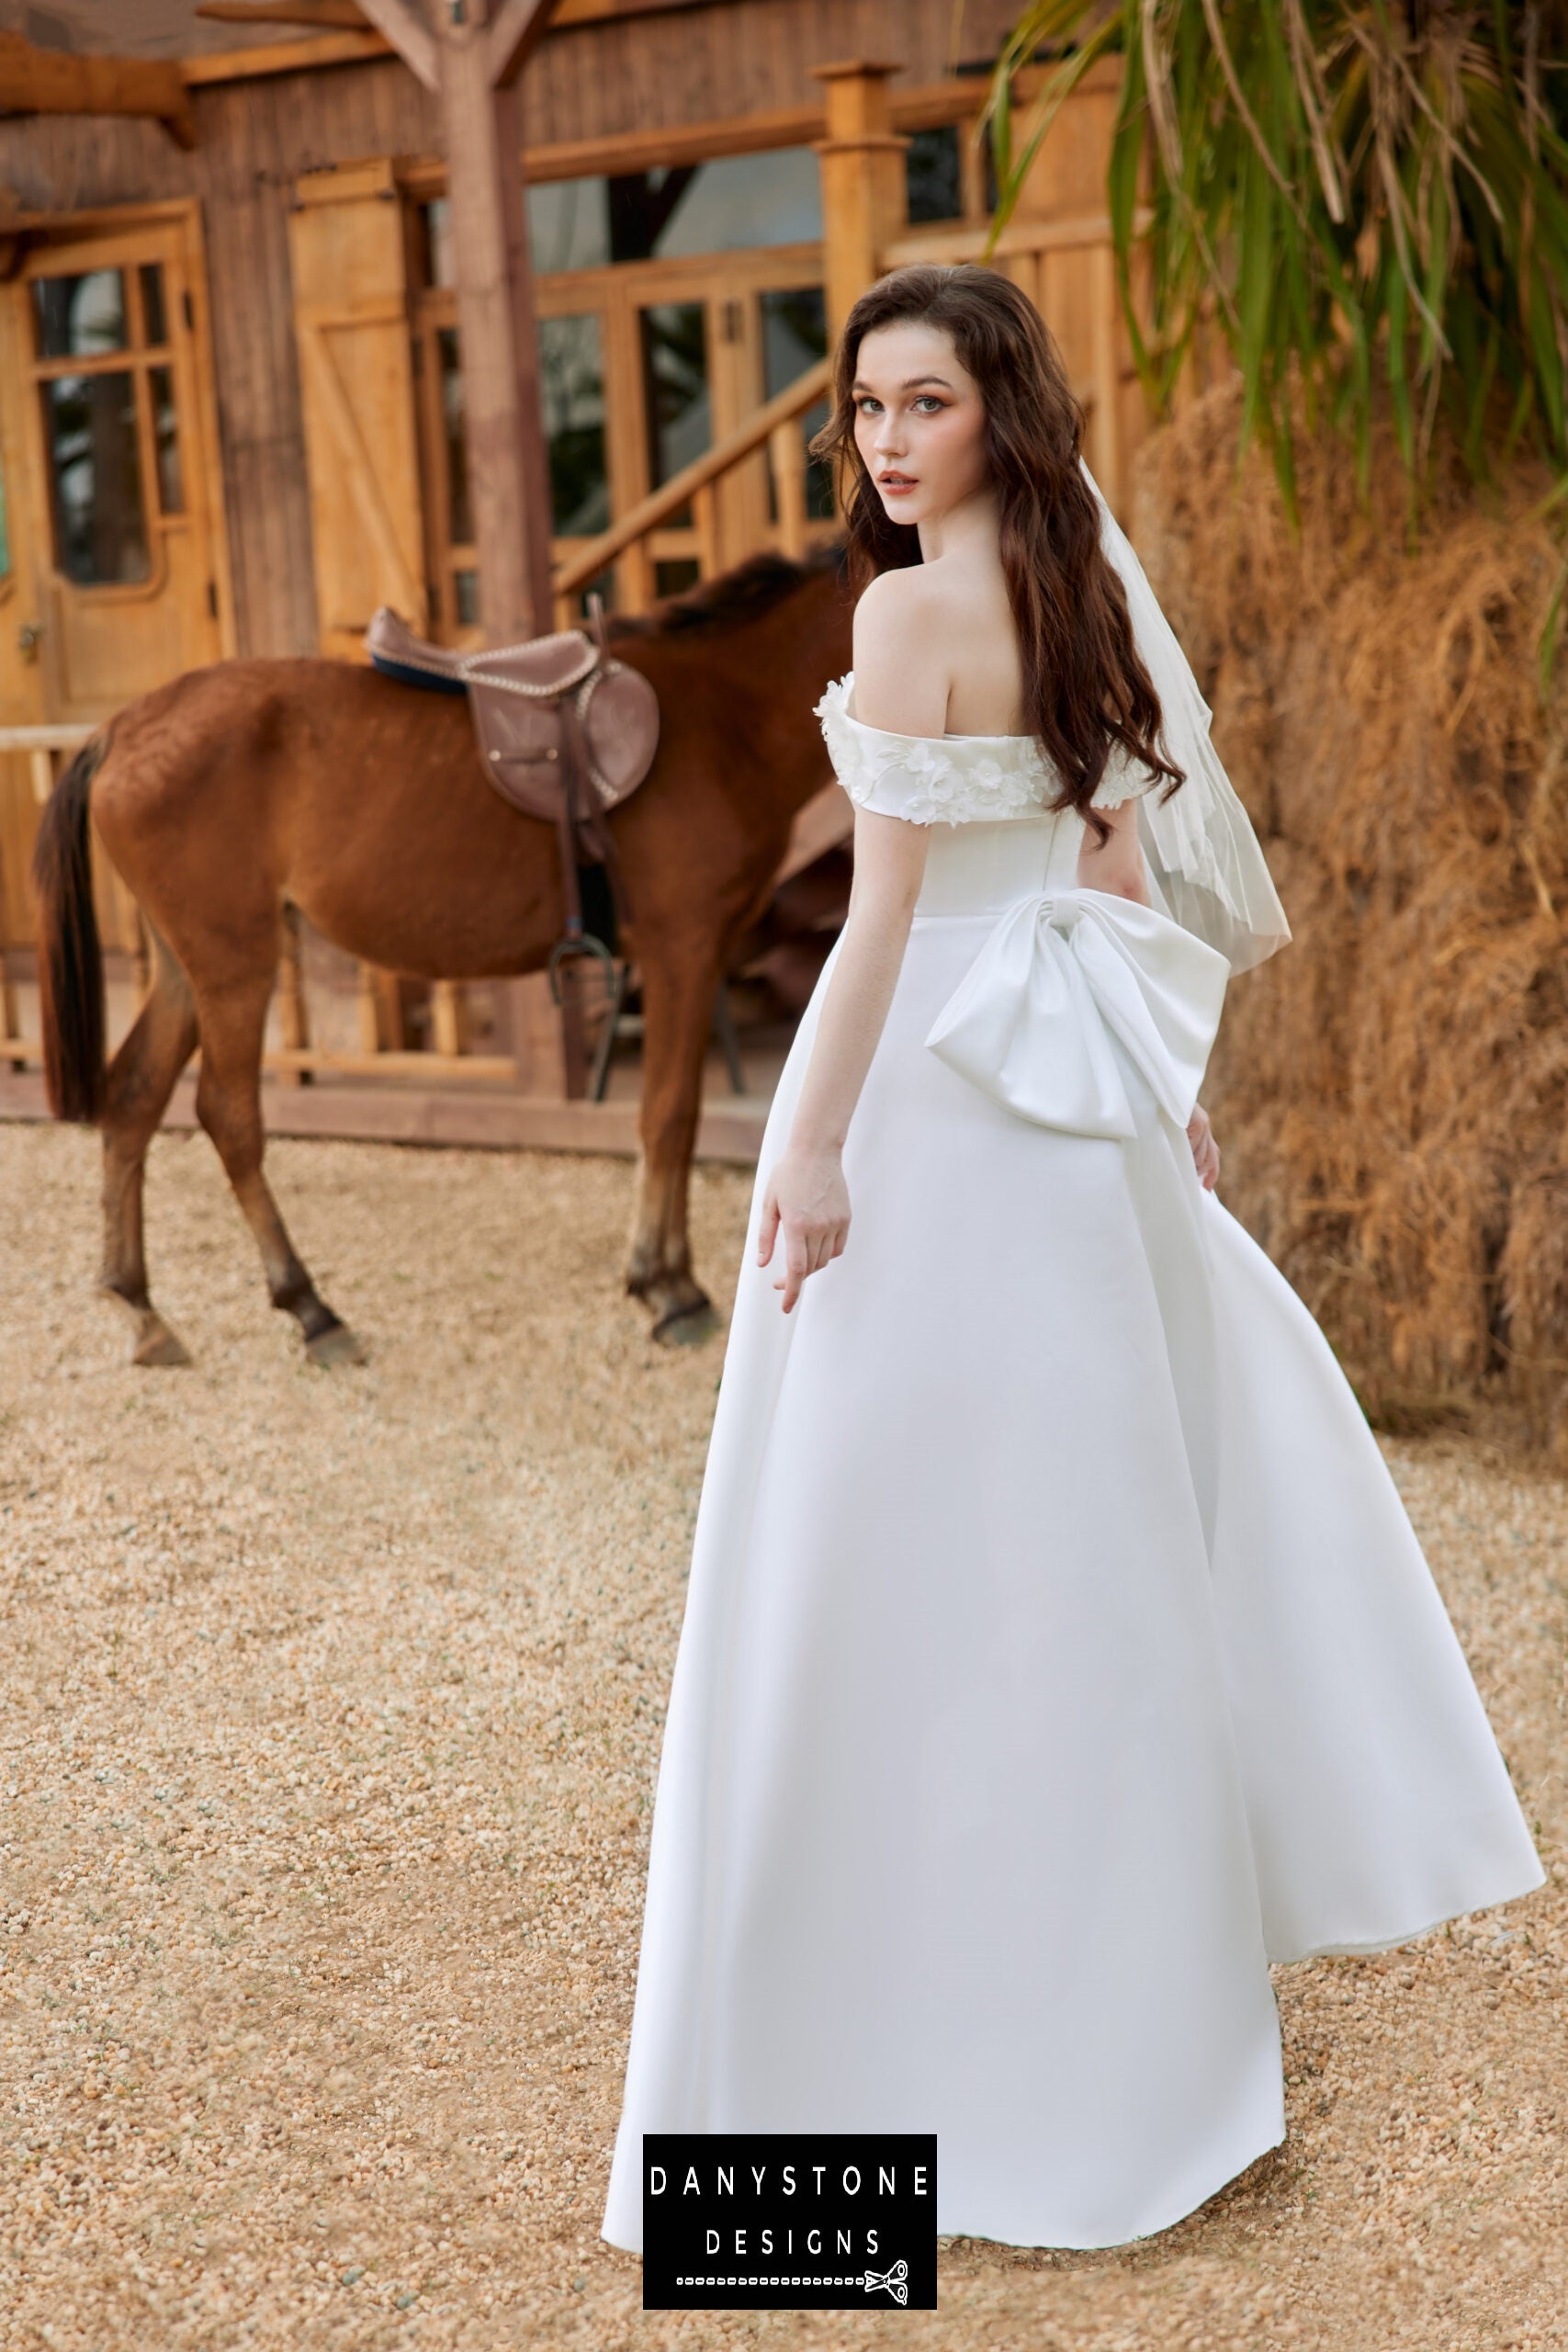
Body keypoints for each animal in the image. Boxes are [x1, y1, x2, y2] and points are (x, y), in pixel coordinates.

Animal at [30, 543, 851, 1374]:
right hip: (234, 962)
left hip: (183, 966)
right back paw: (309, 1307)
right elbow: (670, 1116)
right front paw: (670, 1287)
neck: (725, 714)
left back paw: (139, 1308)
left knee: (133, 1098)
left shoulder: (693, 955)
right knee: (227, 1118)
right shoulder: (681, 947)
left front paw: (661, 1276)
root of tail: (123, 728)